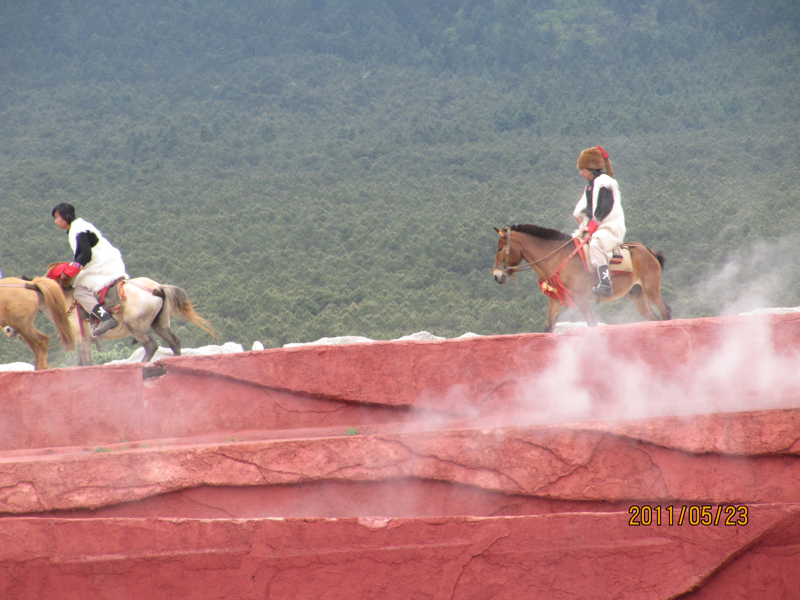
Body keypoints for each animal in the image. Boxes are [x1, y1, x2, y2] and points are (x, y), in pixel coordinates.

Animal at [490, 225, 672, 332]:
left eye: (499, 248)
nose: (497, 275)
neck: (559, 257)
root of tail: (647, 250)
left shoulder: (581, 299)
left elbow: (592, 323)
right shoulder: (556, 299)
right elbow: (549, 327)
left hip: (650, 289)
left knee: (665, 310)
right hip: (636, 293)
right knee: (653, 318)